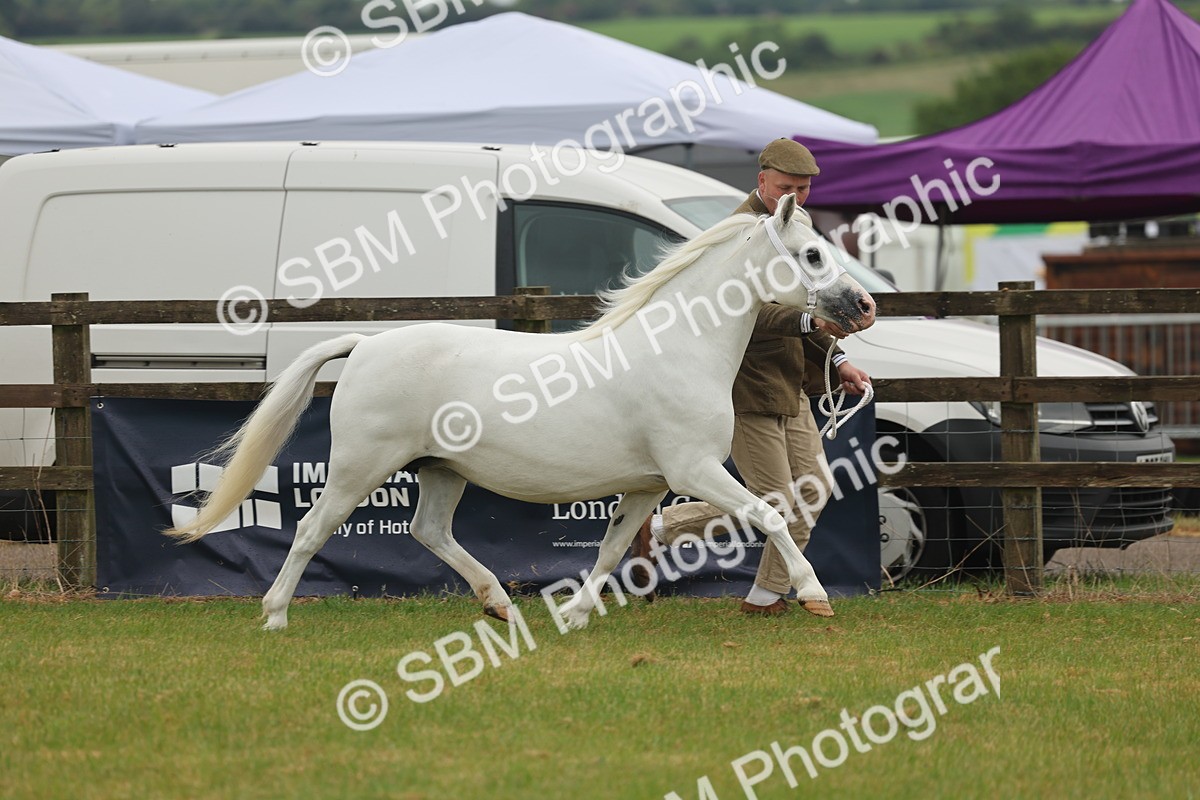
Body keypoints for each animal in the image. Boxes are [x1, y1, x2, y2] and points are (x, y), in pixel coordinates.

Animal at [165, 194, 876, 630]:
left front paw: (575, 615)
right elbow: (771, 513)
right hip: (358, 468)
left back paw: (500, 604)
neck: (676, 348)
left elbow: (612, 550)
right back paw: (276, 615)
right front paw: (815, 596)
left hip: (440, 470)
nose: (865, 306)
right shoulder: (694, 470)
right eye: (813, 254)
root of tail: (365, 344)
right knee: (313, 530)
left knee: (430, 532)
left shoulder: (649, 487)